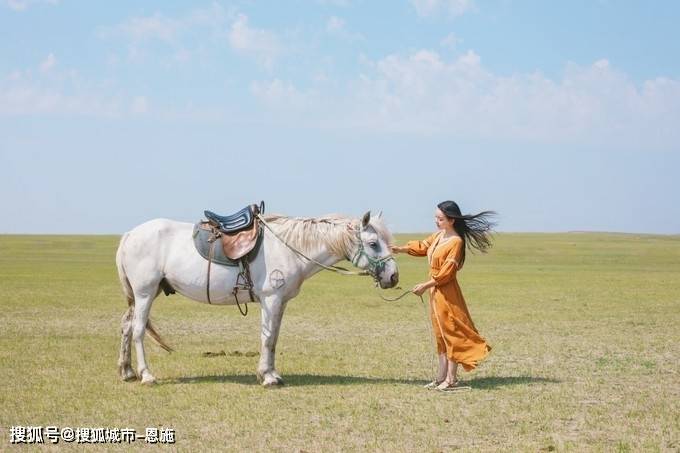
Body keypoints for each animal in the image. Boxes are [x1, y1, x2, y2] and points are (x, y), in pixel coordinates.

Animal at [114, 211, 396, 384]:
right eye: (373, 244)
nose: (393, 277)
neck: (289, 247)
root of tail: (129, 234)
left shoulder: (280, 302)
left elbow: (273, 339)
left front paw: (270, 373)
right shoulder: (271, 299)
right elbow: (268, 338)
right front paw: (268, 377)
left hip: (144, 294)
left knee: (127, 326)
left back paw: (127, 371)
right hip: (145, 293)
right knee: (138, 330)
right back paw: (146, 375)